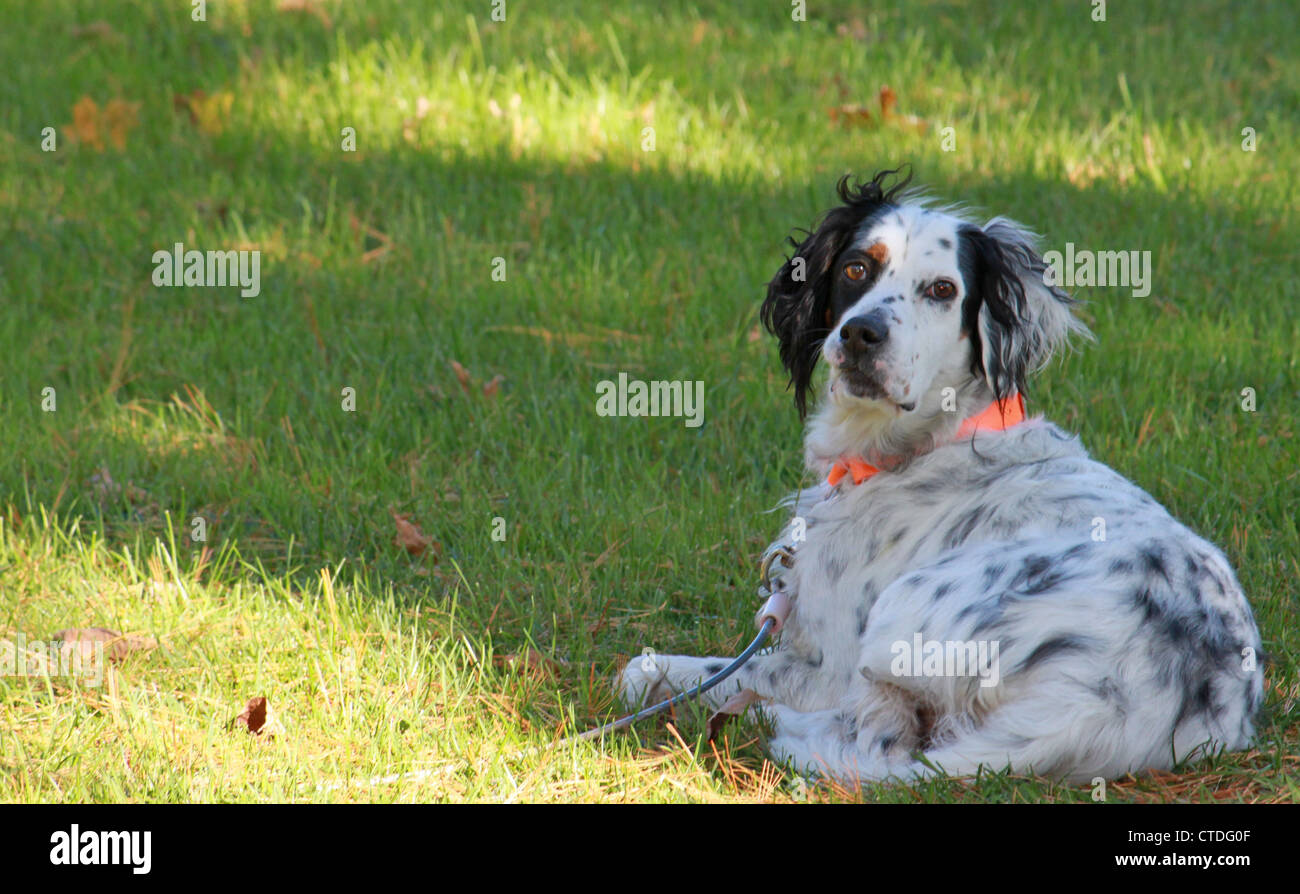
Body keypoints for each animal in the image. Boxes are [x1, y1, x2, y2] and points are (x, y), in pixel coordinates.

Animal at [613, 168, 1263, 779]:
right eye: (856, 268)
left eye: (942, 289)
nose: (861, 333)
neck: (919, 445)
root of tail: (1105, 704)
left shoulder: (825, 663)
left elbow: (694, 670)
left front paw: (667, 677)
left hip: (901, 613)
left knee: (873, 732)